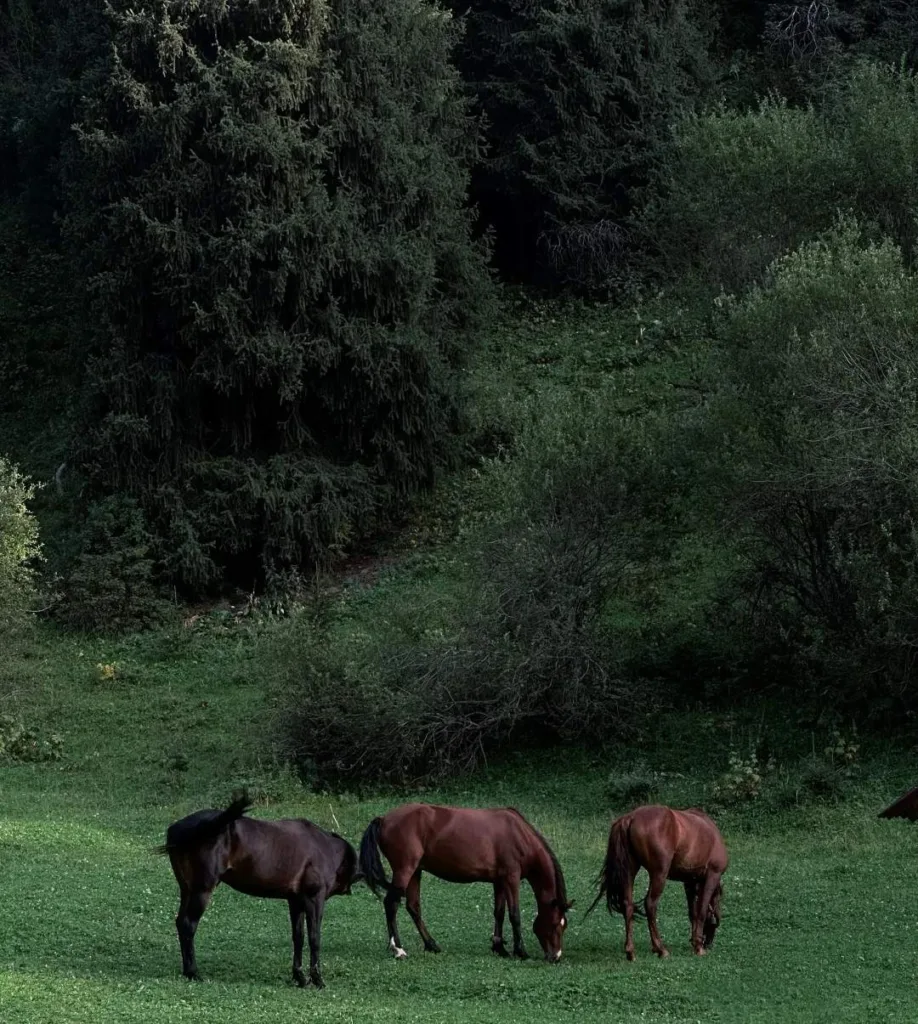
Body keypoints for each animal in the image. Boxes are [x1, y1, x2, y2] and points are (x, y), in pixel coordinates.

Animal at [156, 792, 359, 988]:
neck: (325, 848)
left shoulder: (295, 900)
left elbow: (298, 937)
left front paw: (300, 977)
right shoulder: (314, 899)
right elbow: (314, 938)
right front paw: (317, 979)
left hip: (187, 890)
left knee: (180, 923)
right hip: (201, 891)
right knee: (188, 925)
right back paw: (193, 972)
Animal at [359, 802, 572, 962]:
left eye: (564, 925)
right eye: (555, 924)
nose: (555, 957)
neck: (518, 834)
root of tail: (384, 819)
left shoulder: (499, 881)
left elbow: (499, 913)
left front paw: (499, 947)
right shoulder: (511, 878)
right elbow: (514, 915)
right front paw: (521, 952)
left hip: (415, 872)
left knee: (413, 907)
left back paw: (431, 945)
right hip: (405, 870)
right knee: (392, 903)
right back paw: (398, 949)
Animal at [587, 804, 728, 960]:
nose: (708, 943)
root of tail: (630, 818)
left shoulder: (689, 882)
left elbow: (693, 912)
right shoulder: (711, 876)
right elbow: (701, 910)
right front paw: (698, 947)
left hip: (629, 870)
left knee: (627, 905)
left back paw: (630, 951)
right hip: (659, 874)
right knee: (650, 904)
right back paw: (660, 949)